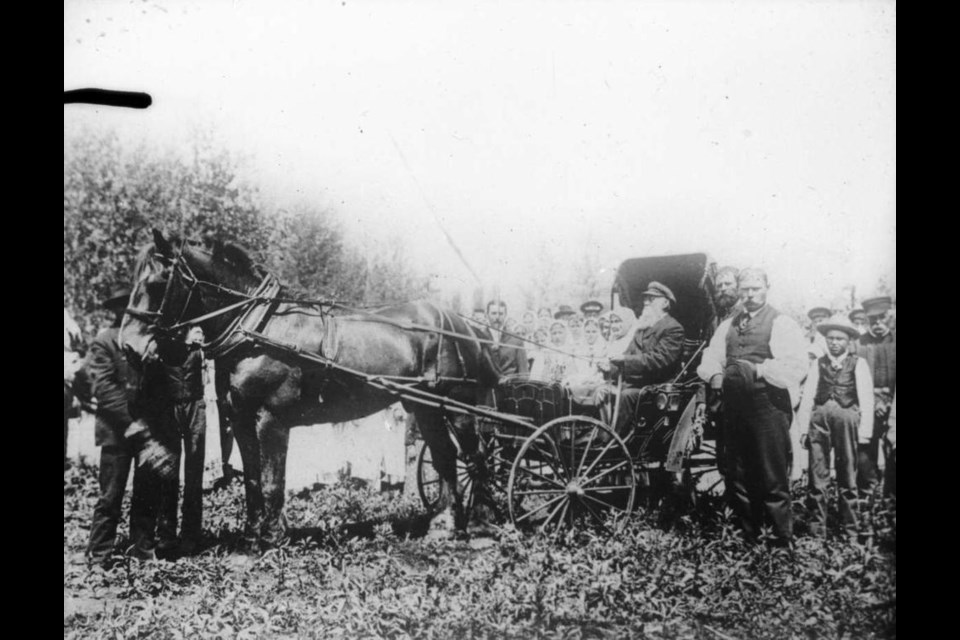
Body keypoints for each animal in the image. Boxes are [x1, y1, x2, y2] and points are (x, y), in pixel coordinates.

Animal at [120, 230, 502, 552]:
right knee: (445, 457)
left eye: (156, 281)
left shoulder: (271, 419)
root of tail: (461, 323)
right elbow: (252, 480)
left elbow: (273, 481)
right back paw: (445, 526)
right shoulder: (240, 419)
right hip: (424, 407)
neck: (258, 328)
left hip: (457, 405)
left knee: (475, 457)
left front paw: (273, 539)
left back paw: (481, 525)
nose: (128, 345)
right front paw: (250, 541)